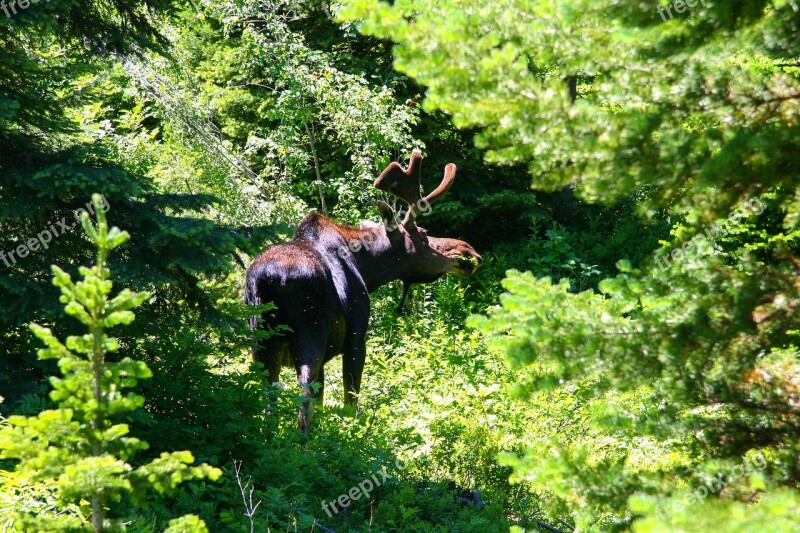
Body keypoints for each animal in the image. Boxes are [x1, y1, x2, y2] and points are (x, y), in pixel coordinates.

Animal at [244, 151, 482, 432]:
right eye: (424, 234)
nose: (469, 251)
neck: (368, 271)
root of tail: (272, 280)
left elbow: (322, 401)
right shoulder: (356, 339)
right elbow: (350, 403)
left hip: (261, 339)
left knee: (269, 400)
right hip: (309, 335)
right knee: (303, 401)